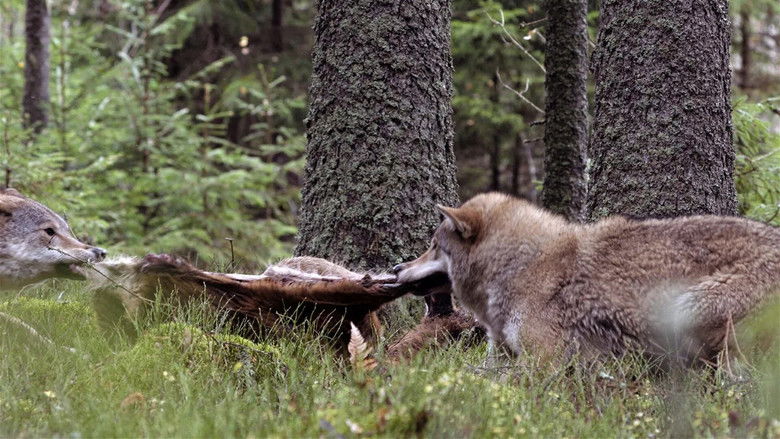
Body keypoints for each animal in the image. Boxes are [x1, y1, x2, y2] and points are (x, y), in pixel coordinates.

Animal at [393, 192, 780, 367]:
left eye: (433, 246)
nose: (396, 269)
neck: (519, 266)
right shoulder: (499, 354)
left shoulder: (543, 361)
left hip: (688, 312)